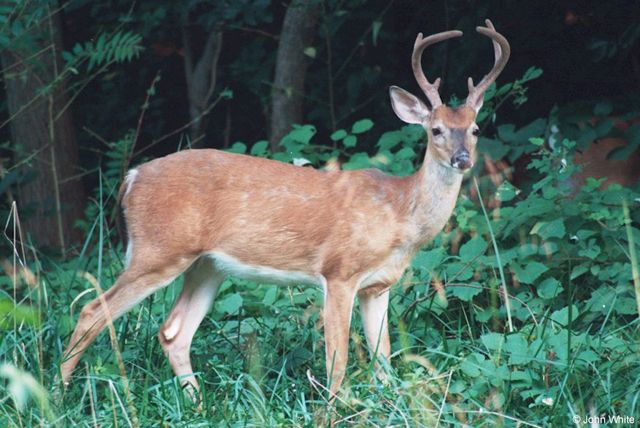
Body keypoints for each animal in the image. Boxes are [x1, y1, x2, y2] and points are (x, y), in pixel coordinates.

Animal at [60, 19, 510, 402]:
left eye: (474, 128)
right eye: (435, 130)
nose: (462, 159)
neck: (400, 214)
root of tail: (132, 177)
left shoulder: (379, 285)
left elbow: (384, 361)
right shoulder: (339, 272)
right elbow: (337, 362)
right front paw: (333, 411)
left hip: (207, 265)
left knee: (173, 331)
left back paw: (196, 405)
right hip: (158, 250)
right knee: (91, 312)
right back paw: (61, 396)